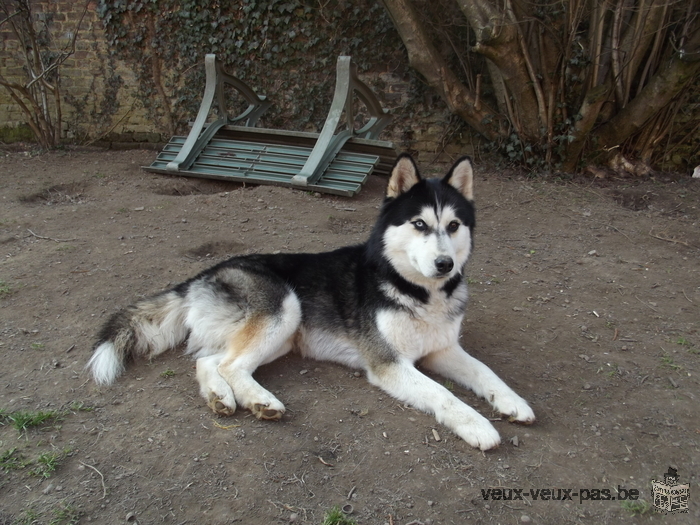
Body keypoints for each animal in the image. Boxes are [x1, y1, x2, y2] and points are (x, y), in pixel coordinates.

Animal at [89, 154, 536, 448]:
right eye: (420, 224)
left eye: (454, 225)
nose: (445, 264)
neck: (418, 291)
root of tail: (204, 273)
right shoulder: (390, 363)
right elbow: (445, 394)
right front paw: (479, 426)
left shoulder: (441, 349)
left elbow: (485, 373)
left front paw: (513, 402)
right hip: (284, 308)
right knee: (230, 364)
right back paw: (260, 400)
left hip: (279, 336)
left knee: (209, 361)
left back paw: (221, 396)